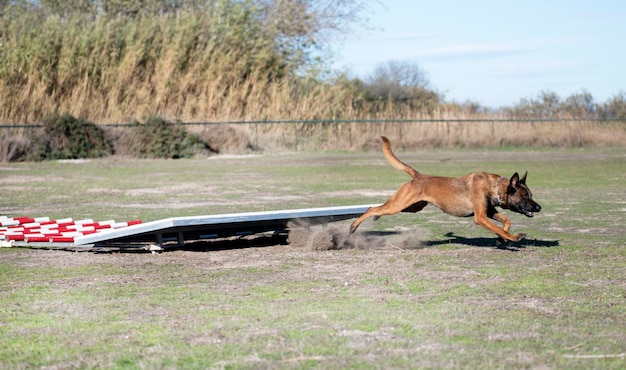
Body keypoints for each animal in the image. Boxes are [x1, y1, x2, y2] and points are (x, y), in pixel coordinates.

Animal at [348, 136, 540, 243]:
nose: (539, 207)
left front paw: (502, 239)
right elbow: (499, 227)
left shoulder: (489, 211)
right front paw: (514, 237)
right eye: (525, 196)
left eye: (531, 195)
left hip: (411, 208)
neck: (494, 186)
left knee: (377, 209)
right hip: (398, 205)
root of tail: (418, 176)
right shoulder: (480, 217)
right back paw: (354, 226)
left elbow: (506, 222)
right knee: (372, 208)